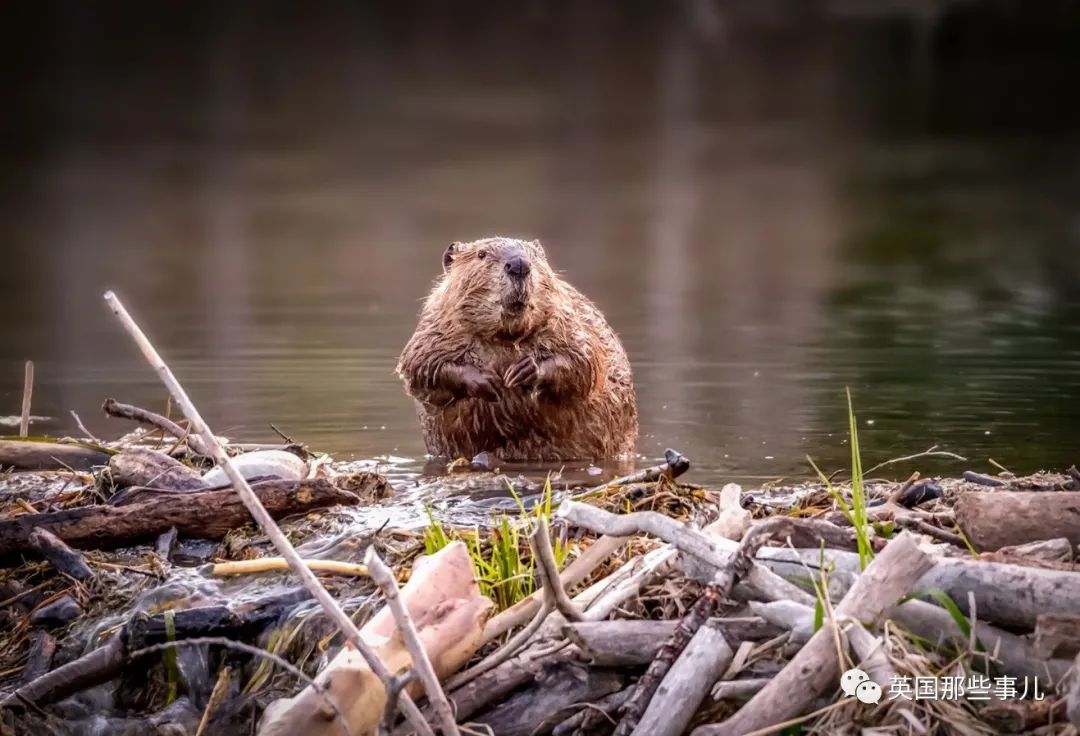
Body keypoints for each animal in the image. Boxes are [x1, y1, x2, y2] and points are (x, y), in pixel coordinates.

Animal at [397, 236, 635, 458]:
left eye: (534, 255)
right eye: (481, 254)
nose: (519, 265)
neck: (505, 337)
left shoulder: (569, 319)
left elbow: (585, 360)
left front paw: (523, 371)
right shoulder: (434, 327)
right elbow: (420, 366)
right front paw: (487, 380)